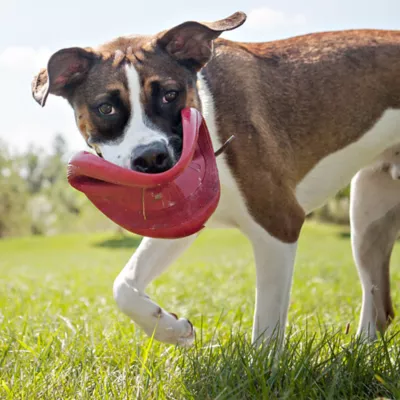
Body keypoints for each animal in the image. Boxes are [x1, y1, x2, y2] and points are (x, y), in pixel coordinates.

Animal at [32, 10, 400, 346]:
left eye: (169, 95)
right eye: (105, 108)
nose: (151, 157)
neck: (208, 125)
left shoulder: (279, 225)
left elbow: (266, 331)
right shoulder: (178, 222)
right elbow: (123, 286)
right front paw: (171, 329)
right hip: (369, 212)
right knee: (379, 306)